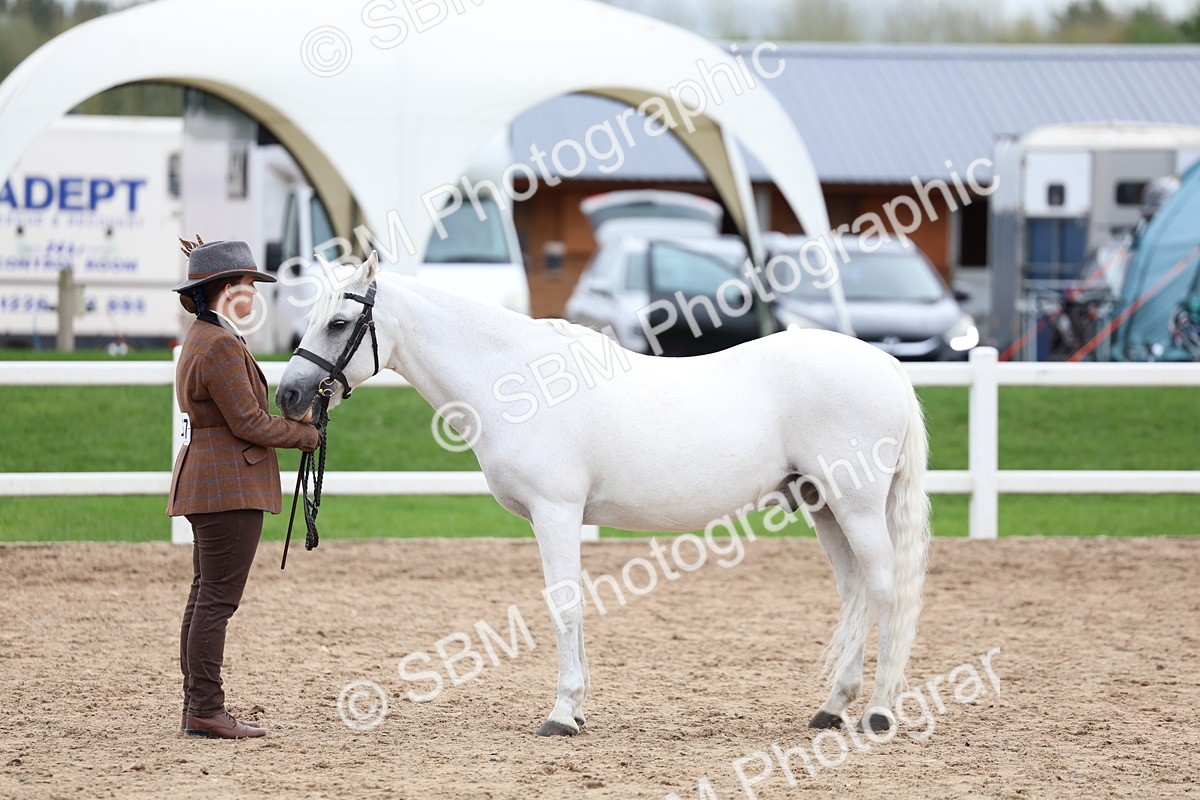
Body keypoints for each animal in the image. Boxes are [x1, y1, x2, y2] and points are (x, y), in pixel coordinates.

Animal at [276, 251, 931, 737]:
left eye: (339, 323)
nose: (288, 395)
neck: (518, 383)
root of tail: (884, 364)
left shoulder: (556, 512)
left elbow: (564, 605)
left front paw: (562, 714)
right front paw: (579, 707)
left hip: (855, 504)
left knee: (885, 590)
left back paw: (878, 713)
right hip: (824, 504)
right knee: (853, 593)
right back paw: (832, 708)